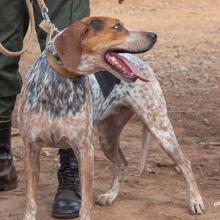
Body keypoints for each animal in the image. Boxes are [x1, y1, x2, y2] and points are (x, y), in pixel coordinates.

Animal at [17, 15, 205, 220]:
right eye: (117, 27)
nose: (154, 35)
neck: (57, 85)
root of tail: (141, 62)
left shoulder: (85, 150)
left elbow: (85, 205)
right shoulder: (31, 149)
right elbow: (30, 202)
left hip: (160, 129)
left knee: (185, 163)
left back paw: (195, 201)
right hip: (108, 138)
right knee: (122, 163)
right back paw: (111, 195)